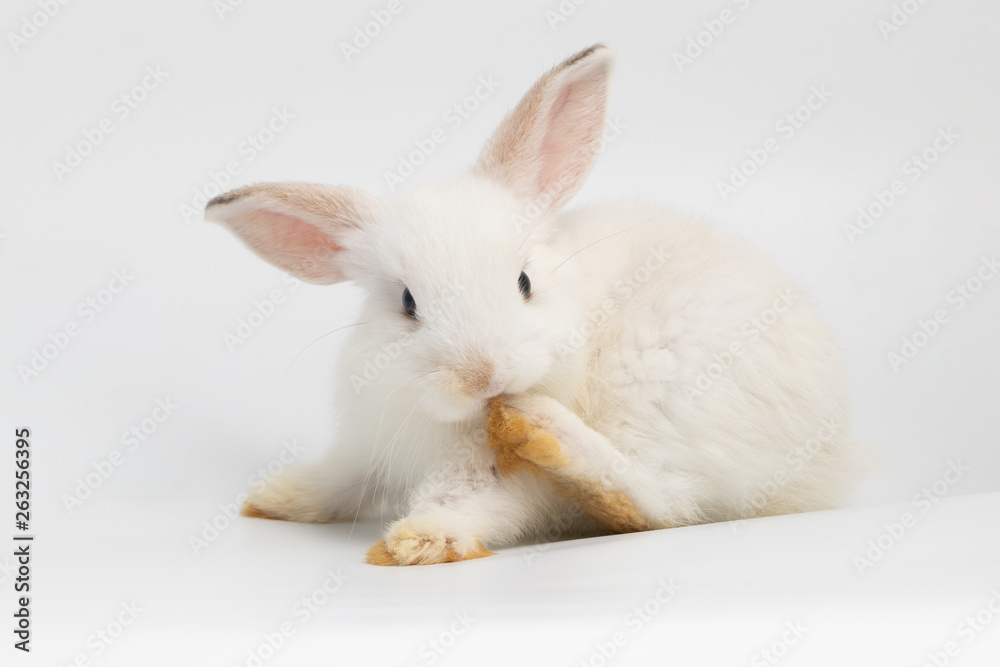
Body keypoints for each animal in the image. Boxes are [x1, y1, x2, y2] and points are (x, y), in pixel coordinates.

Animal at [205, 44, 868, 568]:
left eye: (523, 281)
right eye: (407, 303)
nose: (484, 376)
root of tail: (831, 452)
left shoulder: (498, 479)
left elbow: (475, 503)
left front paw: (419, 541)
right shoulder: (367, 446)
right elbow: (340, 477)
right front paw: (274, 498)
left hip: (667, 389)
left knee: (658, 500)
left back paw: (545, 429)